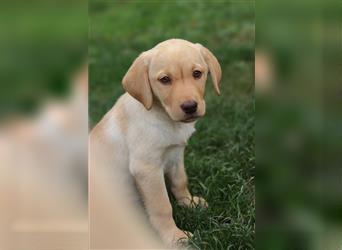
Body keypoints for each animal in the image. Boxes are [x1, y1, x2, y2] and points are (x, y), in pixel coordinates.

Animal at [89, 38, 222, 247]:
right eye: (165, 80)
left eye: (197, 74)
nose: (190, 107)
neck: (164, 116)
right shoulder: (146, 169)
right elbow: (162, 207)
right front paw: (174, 237)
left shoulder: (176, 154)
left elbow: (180, 181)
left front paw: (189, 202)